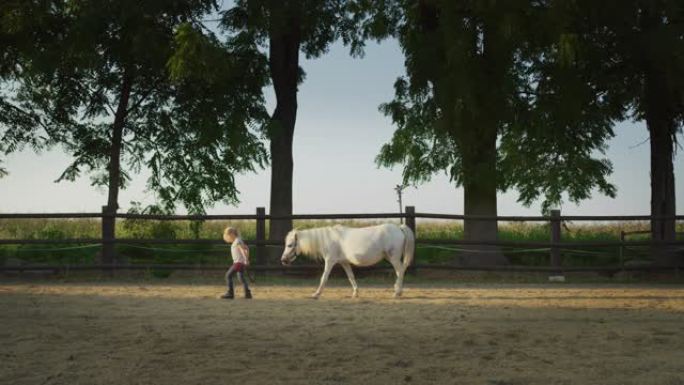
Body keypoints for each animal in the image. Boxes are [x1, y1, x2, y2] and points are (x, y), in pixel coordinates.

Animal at [280, 222, 416, 296]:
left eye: (290, 245)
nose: (283, 260)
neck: (328, 239)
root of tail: (399, 228)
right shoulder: (344, 262)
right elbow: (351, 277)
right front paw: (355, 293)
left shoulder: (330, 261)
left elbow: (324, 277)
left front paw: (316, 294)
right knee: (400, 271)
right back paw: (398, 290)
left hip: (393, 258)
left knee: (400, 271)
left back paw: (397, 292)